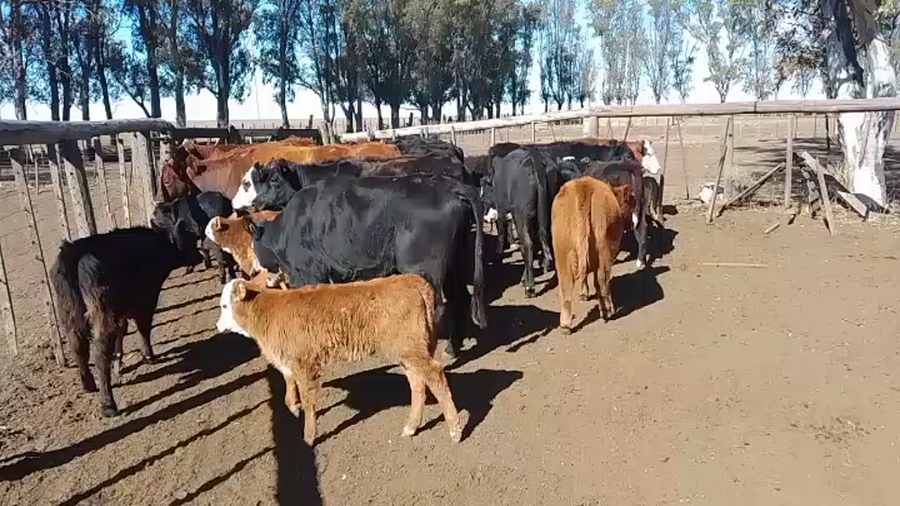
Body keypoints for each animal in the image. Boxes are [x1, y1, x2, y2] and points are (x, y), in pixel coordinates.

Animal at [51, 226, 203, 417]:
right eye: (190, 239)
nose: (200, 256)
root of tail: (74, 251)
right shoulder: (147, 300)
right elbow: (144, 328)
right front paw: (148, 356)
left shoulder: (122, 311)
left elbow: (122, 330)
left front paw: (119, 359)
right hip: (102, 311)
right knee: (100, 353)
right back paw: (108, 404)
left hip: (69, 314)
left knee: (78, 347)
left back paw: (88, 385)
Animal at [216, 274, 465, 446]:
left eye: (225, 305)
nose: (217, 326)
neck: (269, 311)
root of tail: (411, 280)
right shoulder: (289, 362)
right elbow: (289, 388)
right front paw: (294, 408)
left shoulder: (305, 364)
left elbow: (309, 400)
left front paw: (308, 437)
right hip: (409, 353)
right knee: (418, 384)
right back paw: (411, 427)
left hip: (412, 351)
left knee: (435, 375)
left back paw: (455, 430)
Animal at [235, 174, 487, 358]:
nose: (255, 269)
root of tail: (448, 186)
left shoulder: (310, 272)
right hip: (454, 263)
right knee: (461, 298)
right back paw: (452, 348)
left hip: (423, 268)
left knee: (437, 307)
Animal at [551, 177, 636, 334]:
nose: (632, 225)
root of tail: (584, 188)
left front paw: (584, 294)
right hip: (605, 249)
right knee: (602, 279)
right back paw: (608, 311)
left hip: (563, 253)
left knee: (566, 287)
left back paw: (565, 325)